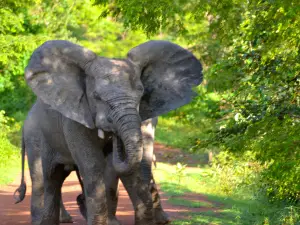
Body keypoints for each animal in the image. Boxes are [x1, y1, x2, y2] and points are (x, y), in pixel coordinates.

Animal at [13, 39, 202, 224]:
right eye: (97, 97)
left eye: (141, 94)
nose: (115, 138)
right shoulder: (75, 119)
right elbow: (93, 166)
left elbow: (130, 171)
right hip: (38, 136)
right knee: (47, 177)